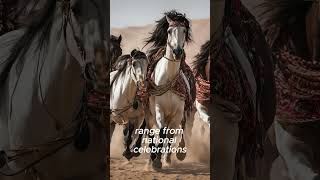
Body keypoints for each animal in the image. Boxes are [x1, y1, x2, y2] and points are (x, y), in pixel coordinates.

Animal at [144, 10, 195, 169]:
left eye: (184, 31)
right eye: (169, 30)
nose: (177, 52)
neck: (168, 79)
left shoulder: (178, 112)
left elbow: (171, 134)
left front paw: (167, 158)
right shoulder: (158, 109)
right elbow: (160, 132)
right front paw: (156, 162)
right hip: (149, 113)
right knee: (150, 131)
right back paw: (151, 158)